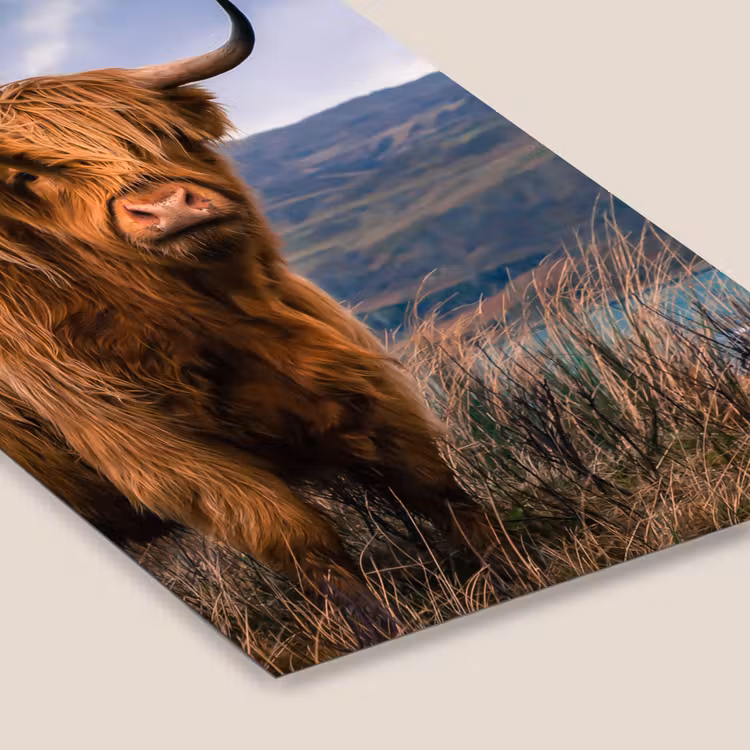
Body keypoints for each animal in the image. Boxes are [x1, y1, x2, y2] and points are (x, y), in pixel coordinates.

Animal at [0, 0, 496, 642]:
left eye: (158, 131)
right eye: (29, 177)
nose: (165, 207)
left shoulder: (353, 380)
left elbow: (431, 483)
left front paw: (512, 563)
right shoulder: (166, 457)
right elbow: (298, 541)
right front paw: (376, 629)